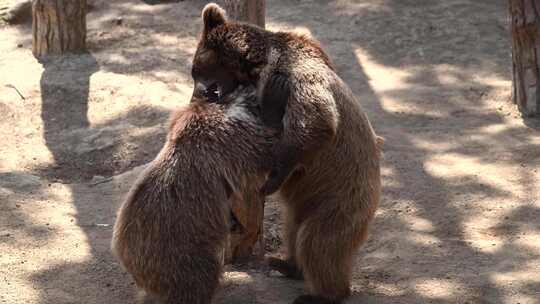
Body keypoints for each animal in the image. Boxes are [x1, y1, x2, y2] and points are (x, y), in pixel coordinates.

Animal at [190, 4, 384, 304]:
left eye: (197, 71)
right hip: (304, 201)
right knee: (293, 229)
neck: (258, 68)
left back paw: (322, 293)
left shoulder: (295, 78)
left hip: (341, 198)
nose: (197, 95)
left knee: (319, 242)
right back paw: (286, 264)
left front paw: (271, 179)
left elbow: (315, 120)